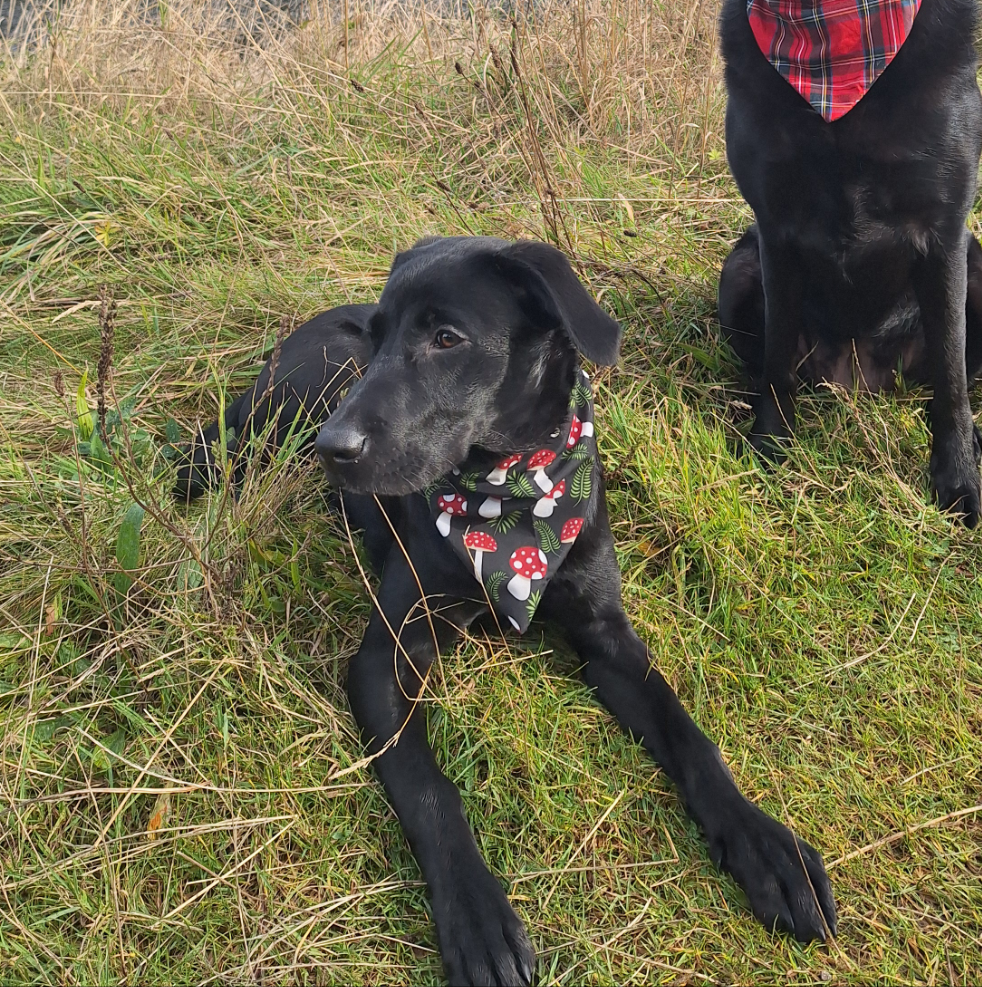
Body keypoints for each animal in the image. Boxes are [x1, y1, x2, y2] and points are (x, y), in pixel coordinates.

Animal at [179, 239, 836, 987]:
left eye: (446, 339)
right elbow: (429, 788)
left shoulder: (608, 637)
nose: (332, 447)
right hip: (263, 424)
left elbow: (690, 736)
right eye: (380, 339)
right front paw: (477, 914)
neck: (513, 493)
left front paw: (767, 846)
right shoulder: (387, 658)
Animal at [716, 0, 982, 524]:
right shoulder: (774, 232)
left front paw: (958, 476)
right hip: (738, 272)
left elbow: (952, 374)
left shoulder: (945, 233)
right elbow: (777, 359)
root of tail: (858, 379)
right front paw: (770, 444)